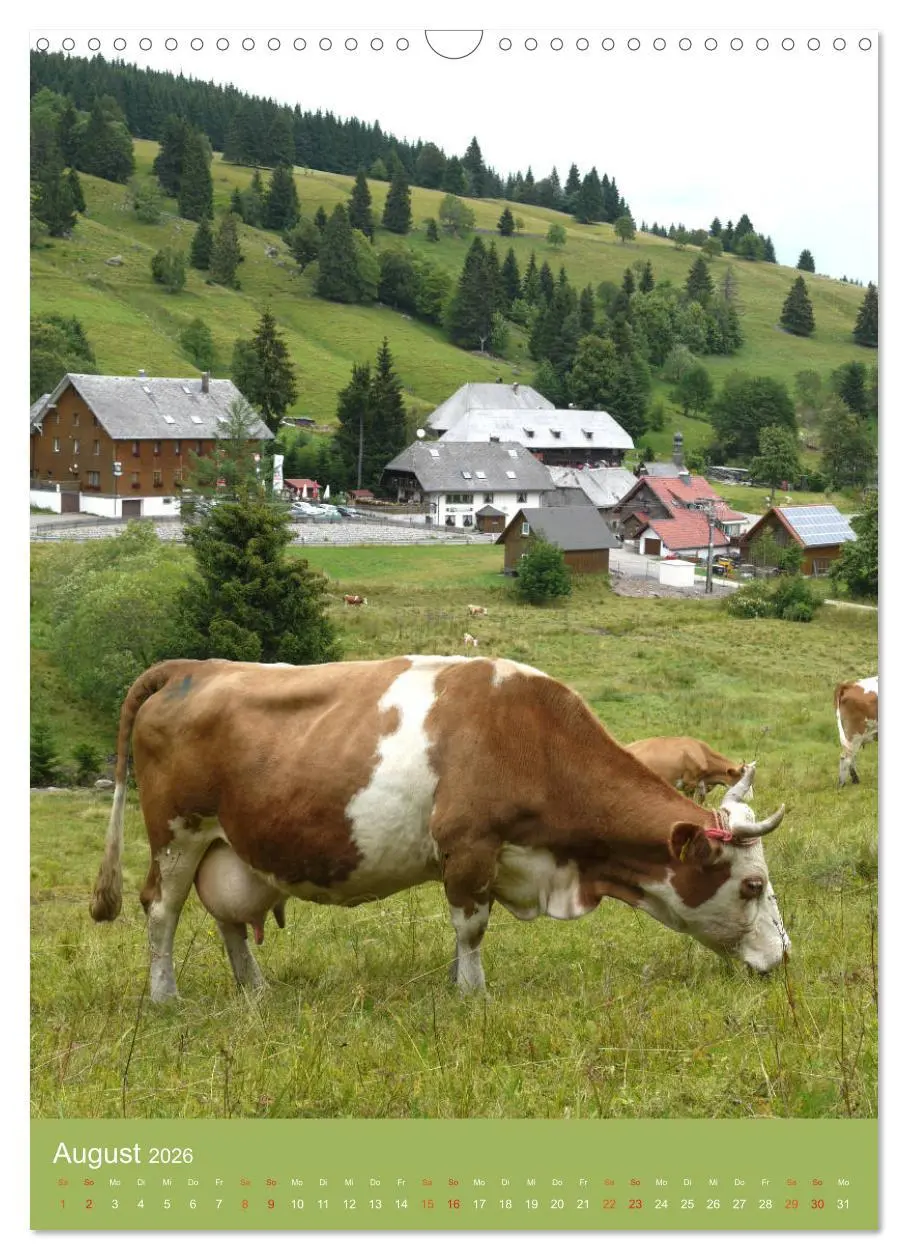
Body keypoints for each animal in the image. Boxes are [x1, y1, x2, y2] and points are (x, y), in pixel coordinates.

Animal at [90, 656, 789, 1004]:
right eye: (752, 886)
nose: (784, 959)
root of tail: (195, 666)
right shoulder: (470, 845)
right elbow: (471, 927)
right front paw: (472, 996)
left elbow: (467, 929)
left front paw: (459, 985)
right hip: (177, 832)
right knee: (161, 911)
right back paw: (165, 998)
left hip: (227, 846)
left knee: (229, 917)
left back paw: (256, 993)